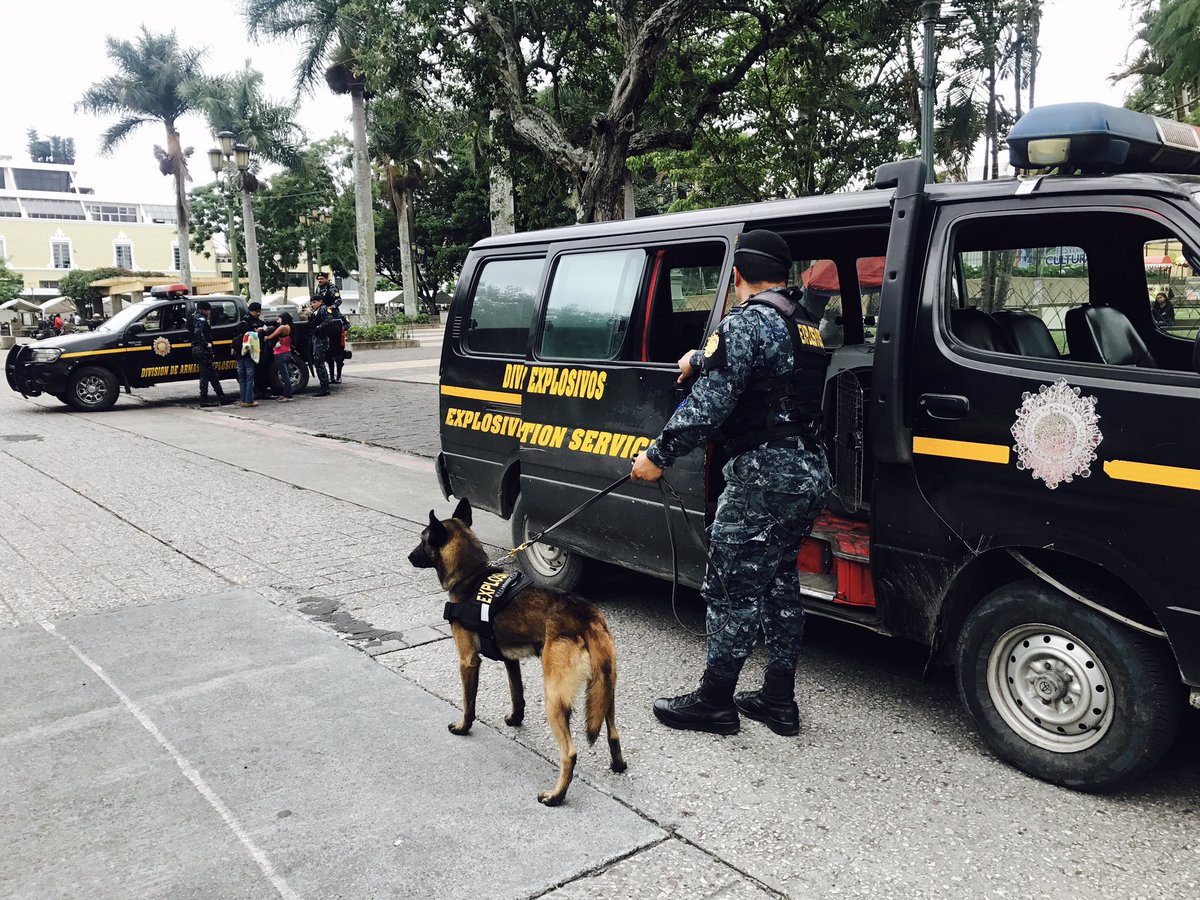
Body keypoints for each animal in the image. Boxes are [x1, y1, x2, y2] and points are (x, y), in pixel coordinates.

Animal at [408, 496, 628, 806]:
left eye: (422, 540)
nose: (409, 557)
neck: (472, 576)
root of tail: (585, 616)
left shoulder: (468, 660)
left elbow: (468, 702)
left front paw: (463, 727)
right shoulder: (511, 661)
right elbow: (517, 694)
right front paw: (515, 720)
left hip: (554, 699)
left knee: (570, 754)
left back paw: (556, 795)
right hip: (605, 692)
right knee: (613, 733)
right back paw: (618, 764)